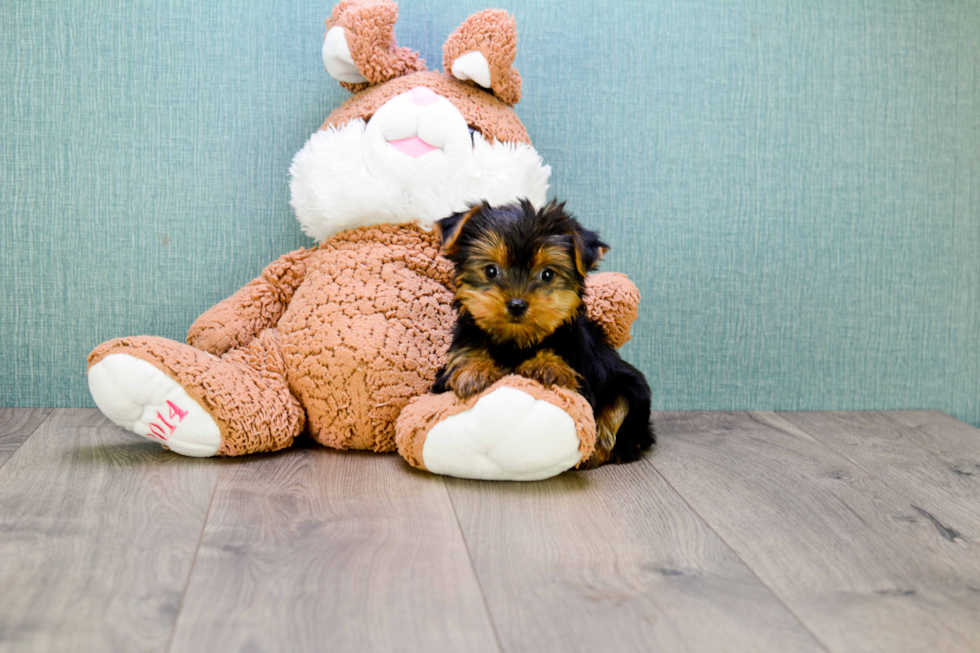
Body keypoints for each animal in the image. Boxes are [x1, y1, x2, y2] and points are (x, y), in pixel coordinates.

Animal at [432, 196, 656, 466]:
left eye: (547, 274)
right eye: (491, 270)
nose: (517, 304)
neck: (516, 342)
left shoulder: (582, 371)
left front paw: (547, 365)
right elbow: (464, 362)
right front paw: (473, 369)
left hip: (632, 387)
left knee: (620, 411)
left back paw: (596, 452)